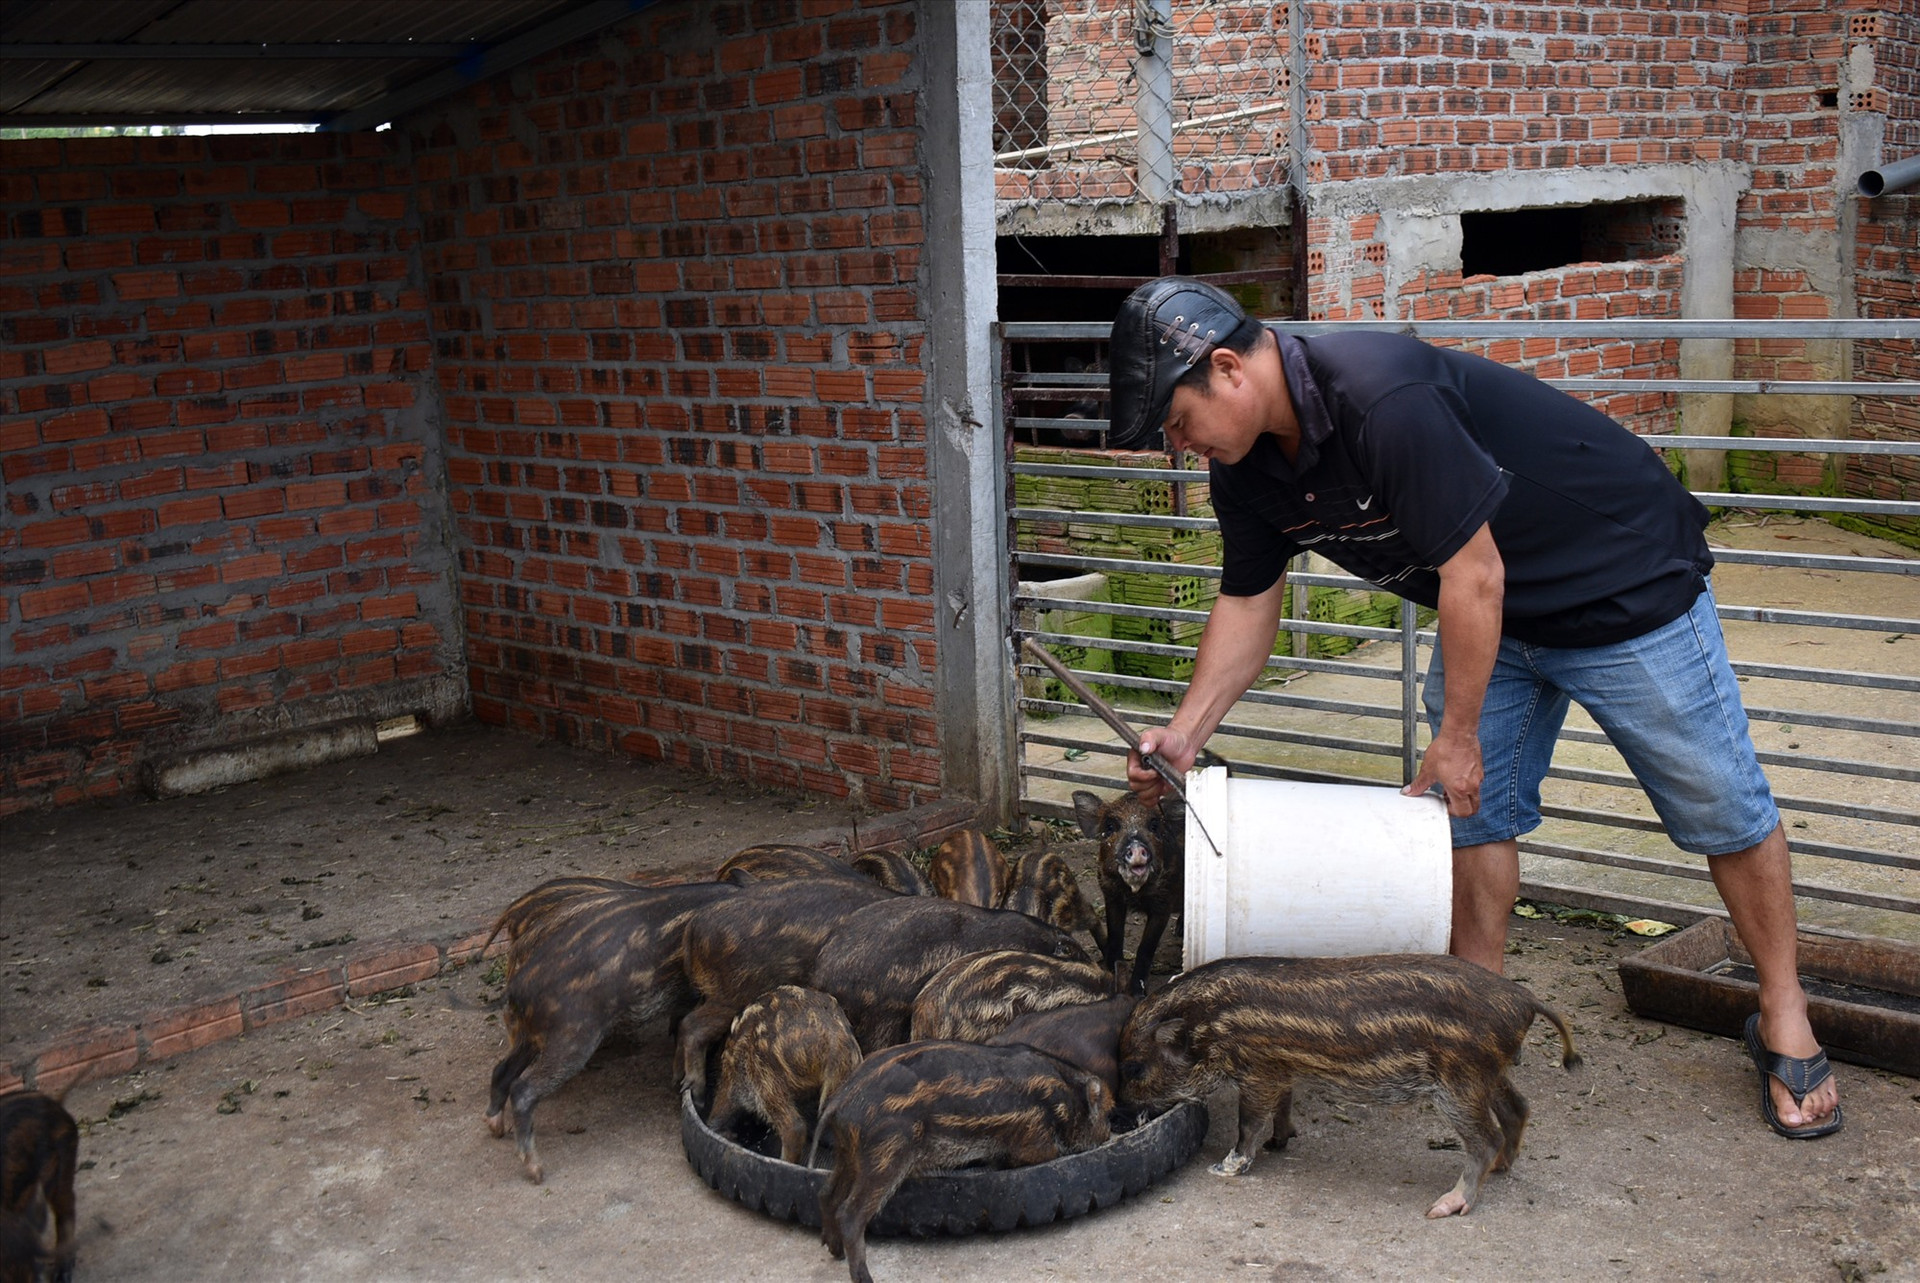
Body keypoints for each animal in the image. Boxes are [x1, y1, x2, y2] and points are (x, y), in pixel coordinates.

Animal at [810, 1044, 1113, 1283]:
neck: (1065, 1099)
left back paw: (834, 1250)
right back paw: (865, 1277)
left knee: (825, 1193)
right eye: (1107, 1113)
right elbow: (1043, 1154)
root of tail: (839, 1101)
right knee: (849, 1213)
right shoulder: (1032, 1138)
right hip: (886, 1153)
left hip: (849, 1155)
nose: (1109, 1135)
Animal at [1067, 791, 1182, 991]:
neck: (1135, 895)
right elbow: (1115, 936)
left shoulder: (1164, 905)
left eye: (1154, 825)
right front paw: (1111, 973)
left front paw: (1136, 992)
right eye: (1110, 826)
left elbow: (1146, 948)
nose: (1136, 847)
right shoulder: (1111, 897)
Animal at [1121, 956, 1582, 1221]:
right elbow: (1282, 1108)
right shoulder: (1282, 1071)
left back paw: (1443, 1207)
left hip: (1459, 1082)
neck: (1209, 1024)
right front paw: (1279, 1143)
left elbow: (1248, 1123)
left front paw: (1225, 1169)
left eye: (1134, 1067)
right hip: (1489, 1073)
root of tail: (1523, 1000)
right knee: (1518, 1109)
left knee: (1486, 1138)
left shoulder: (1258, 1071)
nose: (1122, 1113)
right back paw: (1503, 1167)